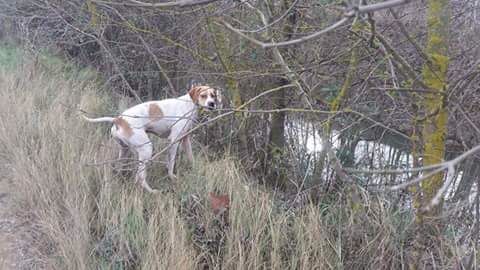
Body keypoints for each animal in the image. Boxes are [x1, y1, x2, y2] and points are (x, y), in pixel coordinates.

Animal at [84, 85, 221, 193]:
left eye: (213, 95)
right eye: (203, 95)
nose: (212, 104)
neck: (189, 105)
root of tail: (118, 119)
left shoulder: (185, 139)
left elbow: (190, 157)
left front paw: (195, 169)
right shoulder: (174, 141)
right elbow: (171, 163)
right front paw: (171, 177)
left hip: (125, 150)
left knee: (121, 168)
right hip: (146, 149)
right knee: (140, 177)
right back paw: (152, 191)